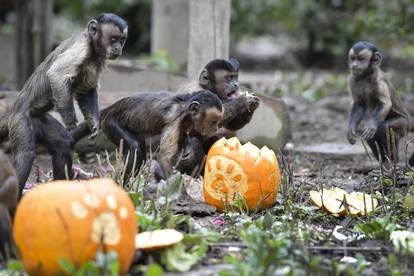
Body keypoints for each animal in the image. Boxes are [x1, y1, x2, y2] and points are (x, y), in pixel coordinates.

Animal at [0, 12, 128, 196]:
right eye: (113, 39)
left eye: (122, 40)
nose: (118, 48)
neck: (92, 49)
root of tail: (12, 109)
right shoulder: (81, 48)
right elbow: (56, 75)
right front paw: (69, 119)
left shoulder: (99, 59)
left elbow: (86, 91)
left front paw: (94, 124)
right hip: (20, 119)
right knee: (25, 155)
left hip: (39, 120)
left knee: (64, 144)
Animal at [73, 89, 225, 182]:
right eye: (213, 121)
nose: (216, 127)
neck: (185, 107)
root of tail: (109, 108)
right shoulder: (174, 119)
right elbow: (165, 157)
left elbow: (183, 136)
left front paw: (188, 152)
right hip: (110, 123)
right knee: (135, 147)